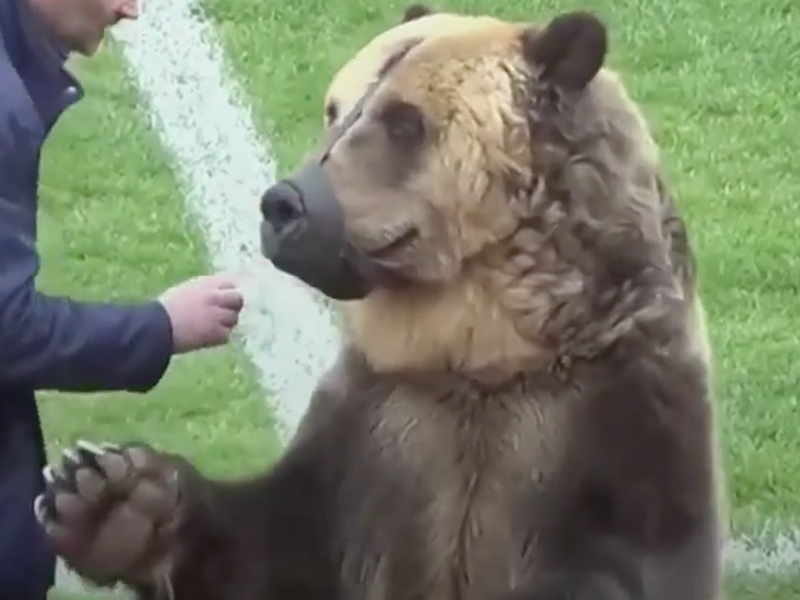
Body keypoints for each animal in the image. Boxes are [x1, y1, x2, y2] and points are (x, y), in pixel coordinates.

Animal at [36, 8, 725, 600]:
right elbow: (274, 546)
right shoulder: (380, 426)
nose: (284, 206)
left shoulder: (615, 412)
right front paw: (109, 496)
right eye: (335, 108)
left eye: (403, 120)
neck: (483, 347)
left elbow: (626, 556)